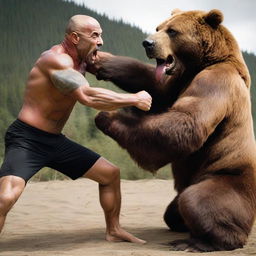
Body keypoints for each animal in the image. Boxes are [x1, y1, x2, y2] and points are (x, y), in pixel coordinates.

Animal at [87, 8, 256, 252]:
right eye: (158, 27)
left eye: (173, 31)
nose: (148, 43)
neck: (199, 64)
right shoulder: (178, 80)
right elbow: (157, 88)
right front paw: (102, 62)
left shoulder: (215, 81)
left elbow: (187, 122)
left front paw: (110, 116)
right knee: (173, 213)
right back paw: (182, 226)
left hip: (227, 175)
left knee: (197, 200)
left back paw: (200, 241)